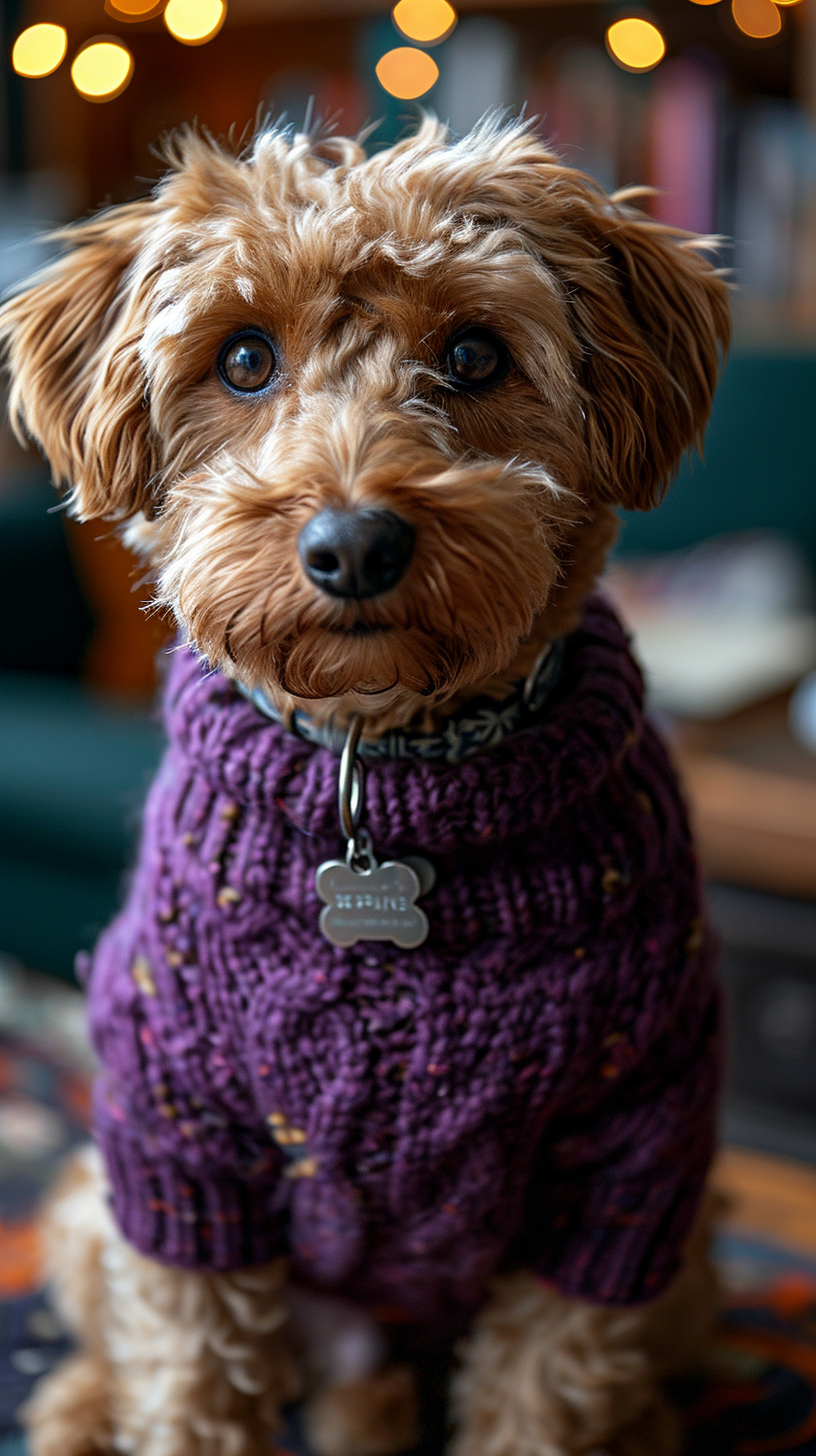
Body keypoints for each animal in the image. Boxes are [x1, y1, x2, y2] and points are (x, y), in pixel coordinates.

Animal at [0, 116, 725, 1456]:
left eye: (475, 353)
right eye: (242, 358)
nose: (353, 544)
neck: (379, 770)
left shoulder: (629, 1163)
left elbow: (542, 1397)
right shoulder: (180, 1144)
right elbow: (187, 1381)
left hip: (690, 1246)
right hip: (95, 1188)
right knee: (108, 1324)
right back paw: (75, 1406)